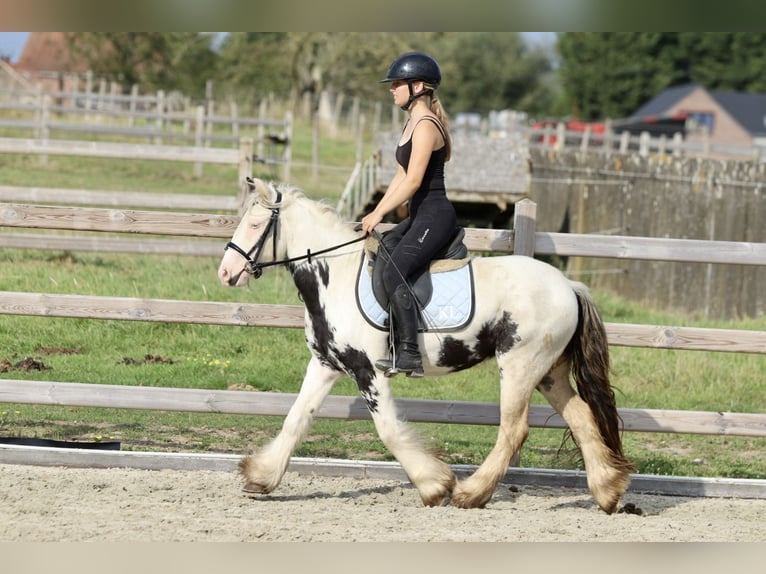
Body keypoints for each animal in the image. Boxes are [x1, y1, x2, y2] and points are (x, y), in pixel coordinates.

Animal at [218, 179, 636, 512]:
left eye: (254, 224)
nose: (226, 273)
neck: (332, 276)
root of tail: (569, 286)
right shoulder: (326, 364)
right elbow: (295, 418)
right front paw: (261, 476)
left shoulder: (368, 370)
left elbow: (388, 429)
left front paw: (434, 485)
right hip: (549, 371)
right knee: (582, 418)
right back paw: (608, 493)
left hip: (519, 366)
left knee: (513, 430)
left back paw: (470, 494)